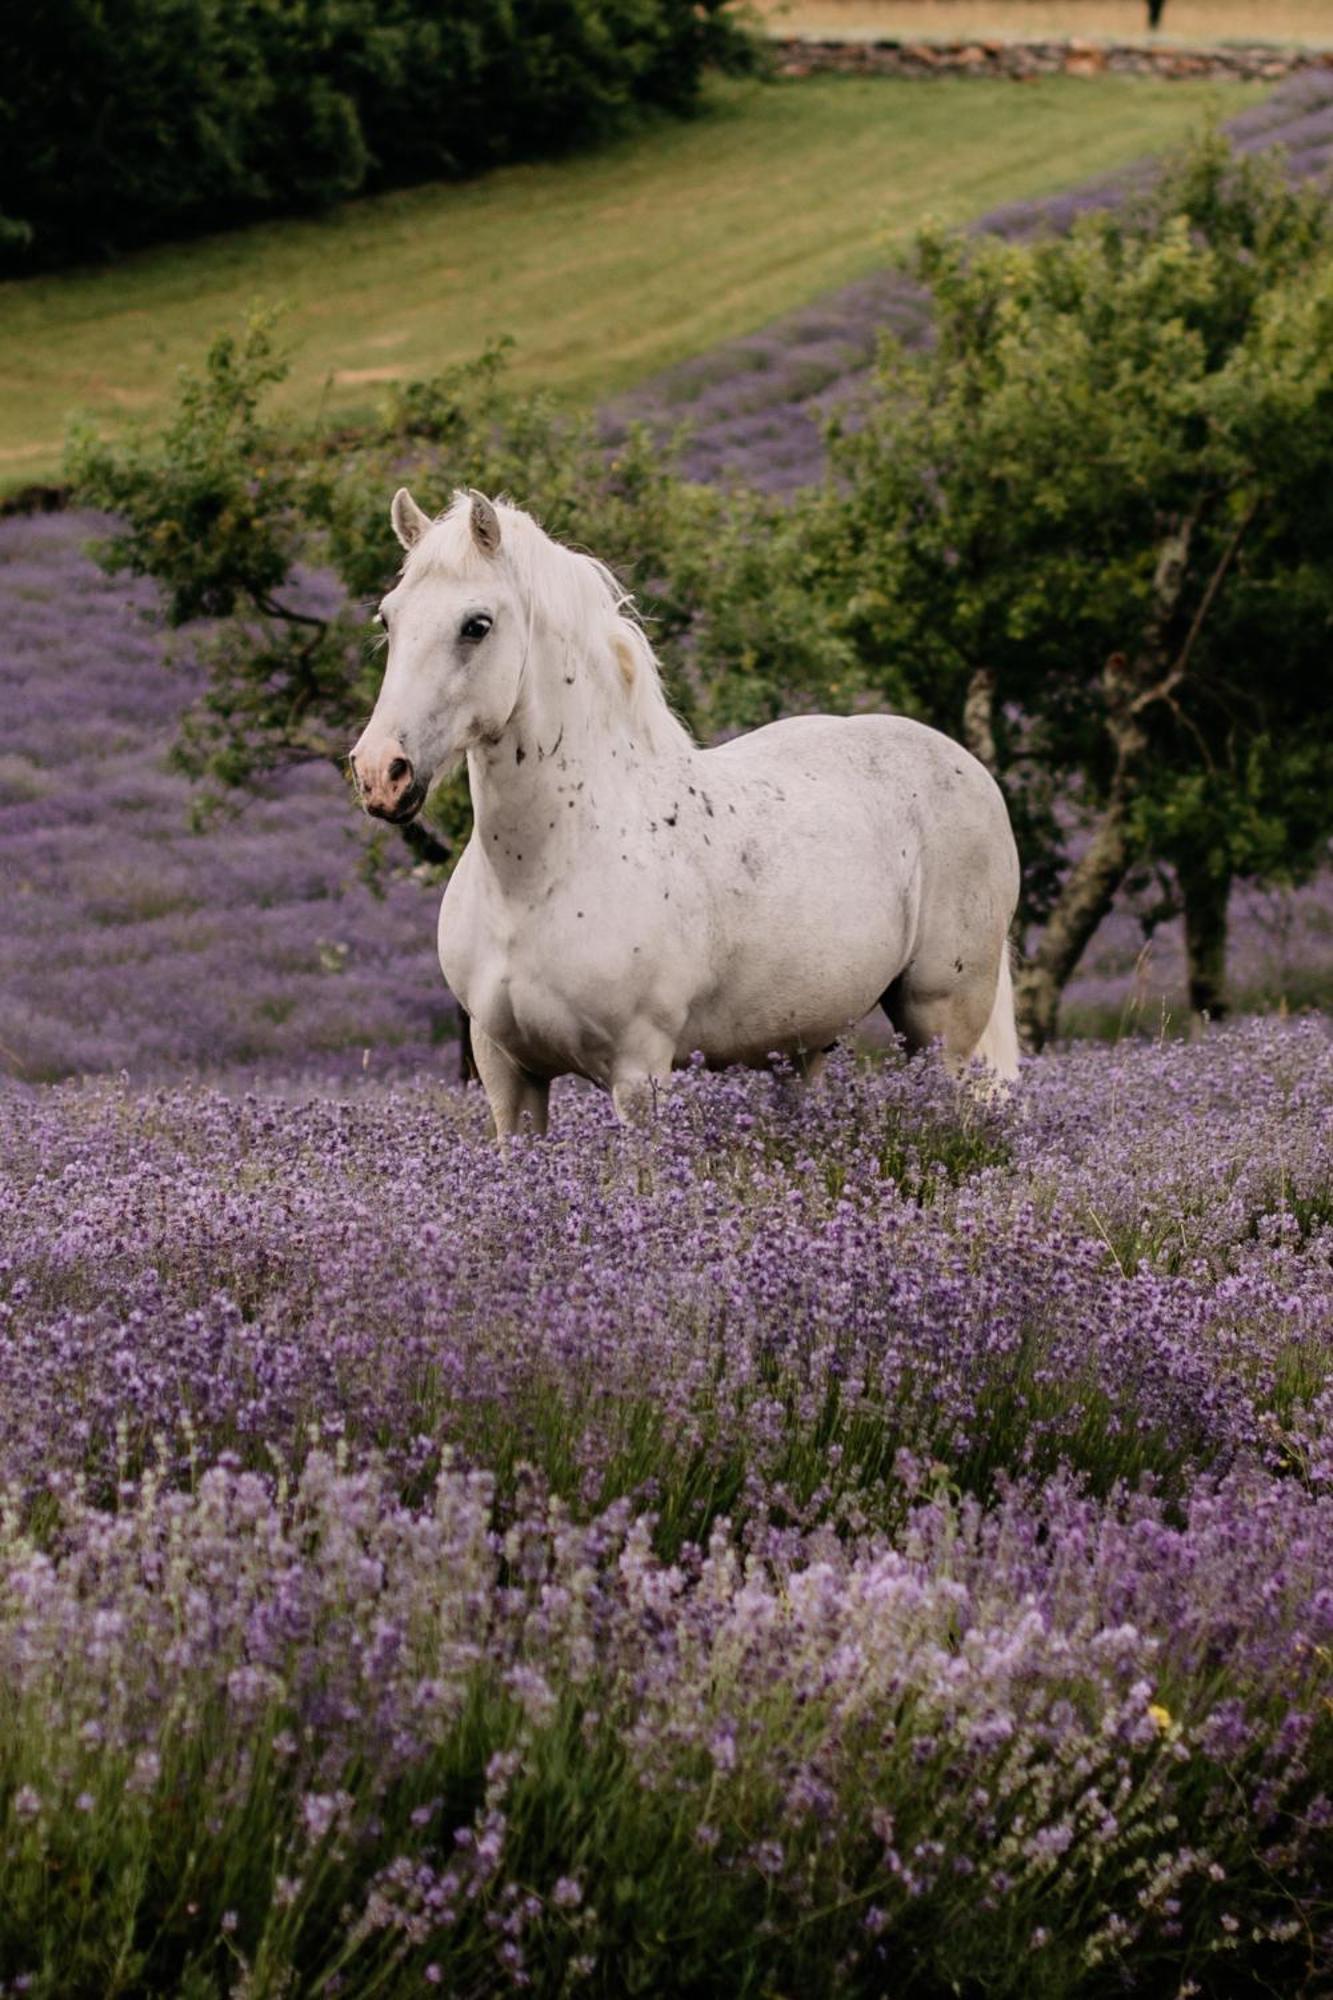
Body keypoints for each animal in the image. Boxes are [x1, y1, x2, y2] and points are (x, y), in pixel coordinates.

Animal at [352, 490, 1016, 1136]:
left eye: (477, 625)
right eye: (388, 617)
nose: (381, 772)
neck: (539, 874)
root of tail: (967, 766)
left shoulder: (638, 1074)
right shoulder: (509, 1078)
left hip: (939, 1025)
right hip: (798, 1046)